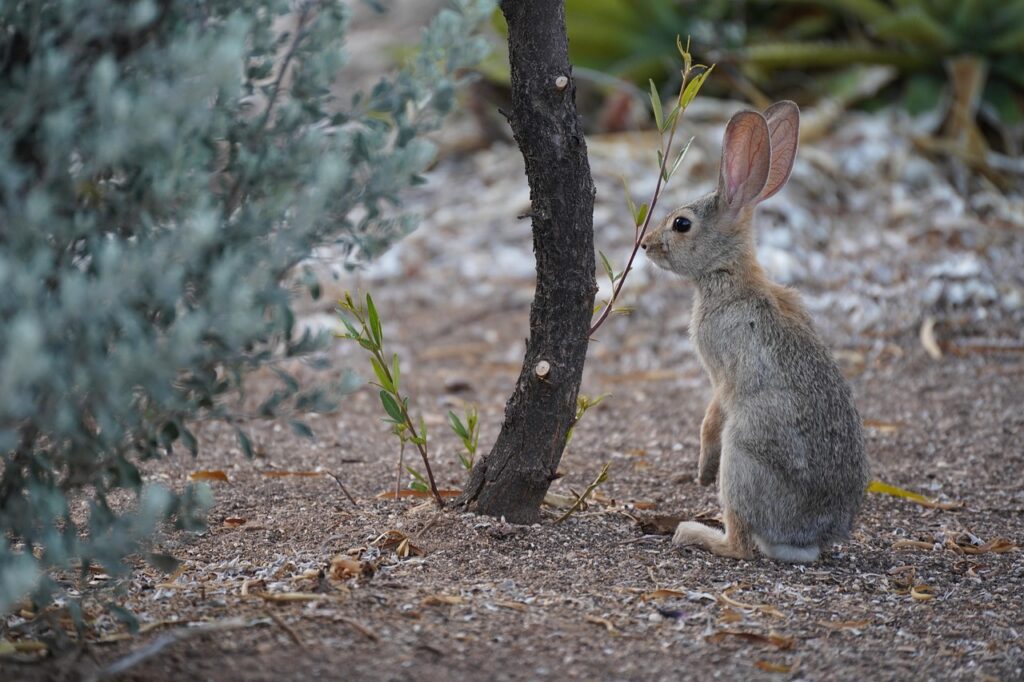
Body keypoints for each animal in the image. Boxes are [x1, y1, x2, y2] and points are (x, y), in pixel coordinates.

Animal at [640, 101, 868, 563]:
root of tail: (807, 539)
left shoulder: (723, 370)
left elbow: (712, 413)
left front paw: (701, 469)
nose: (647, 244)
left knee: (741, 544)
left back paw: (694, 533)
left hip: (742, 456)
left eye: (681, 224)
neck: (728, 275)